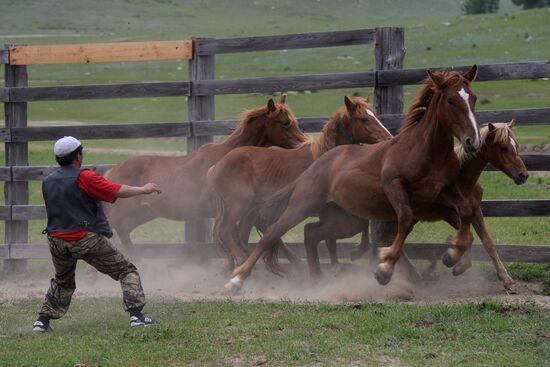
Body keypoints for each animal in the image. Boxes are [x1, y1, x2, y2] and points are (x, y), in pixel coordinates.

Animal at [105, 96, 308, 260]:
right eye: (285, 123)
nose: (305, 143)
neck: (226, 159)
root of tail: (112, 171)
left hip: (143, 214)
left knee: (122, 231)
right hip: (127, 212)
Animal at [207, 96, 392, 274]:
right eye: (364, 119)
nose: (388, 138)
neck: (326, 158)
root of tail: (216, 166)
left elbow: (336, 238)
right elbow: (343, 232)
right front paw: (353, 253)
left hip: (250, 211)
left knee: (241, 236)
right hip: (239, 205)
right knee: (227, 232)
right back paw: (241, 261)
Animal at [308, 119, 528, 292]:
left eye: (516, 145)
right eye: (503, 147)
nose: (523, 175)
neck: (462, 177)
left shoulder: (475, 211)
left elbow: (485, 241)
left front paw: (506, 279)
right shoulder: (450, 213)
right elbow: (468, 238)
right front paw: (453, 259)